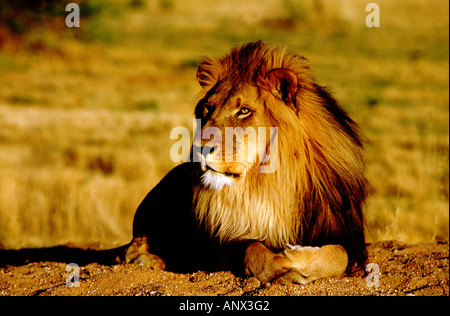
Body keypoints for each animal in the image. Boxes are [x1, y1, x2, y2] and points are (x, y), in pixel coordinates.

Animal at [119, 40, 370, 286]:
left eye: (243, 111)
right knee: (130, 250)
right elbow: (252, 247)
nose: (198, 149)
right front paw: (282, 265)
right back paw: (149, 260)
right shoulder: (222, 245)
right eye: (207, 108)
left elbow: (338, 254)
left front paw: (295, 257)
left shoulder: (344, 234)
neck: (267, 181)